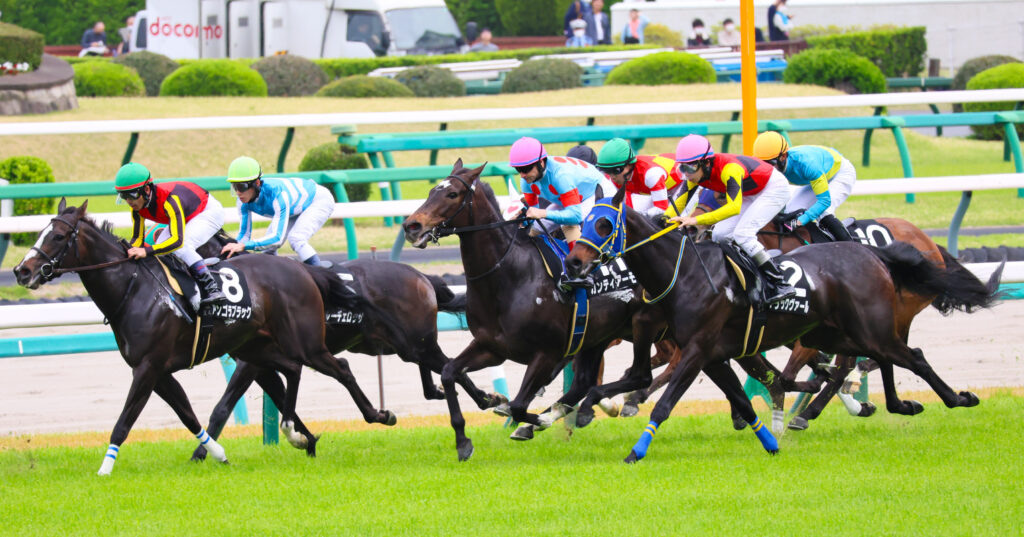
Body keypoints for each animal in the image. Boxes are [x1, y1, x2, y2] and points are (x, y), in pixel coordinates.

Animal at [13, 200, 397, 474]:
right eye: (39, 232)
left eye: (58, 237)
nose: (22, 271)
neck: (133, 289)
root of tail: (300, 269)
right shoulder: (157, 370)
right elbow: (188, 414)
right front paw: (217, 454)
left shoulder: (148, 368)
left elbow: (126, 421)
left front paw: (104, 471)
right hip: (259, 349)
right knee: (293, 369)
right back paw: (296, 434)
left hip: (306, 343)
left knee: (340, 367)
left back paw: (379, 415)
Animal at [564, 189, 1003, 463]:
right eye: (584, 222)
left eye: (604, 225)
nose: (573, 262)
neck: (685, 272)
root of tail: (873, 253)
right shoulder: (711, 354)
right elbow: (742, 398)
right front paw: (770, 441)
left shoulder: (697, 350)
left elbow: (666, 402)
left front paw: (635, 450)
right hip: (841, 331)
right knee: (878, 360)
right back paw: (894, 404)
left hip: (868, 327)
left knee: (913, 357)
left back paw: (958, 398)